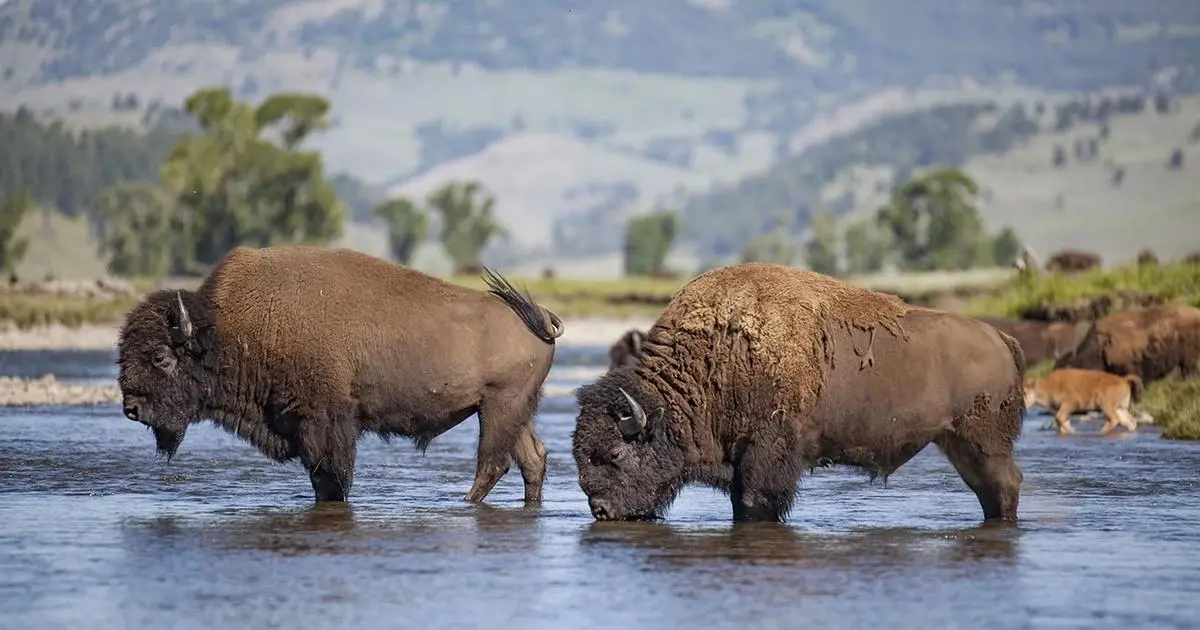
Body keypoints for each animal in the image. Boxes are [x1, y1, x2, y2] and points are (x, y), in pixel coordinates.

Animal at [114, 243, 564, 504]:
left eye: (160, 357)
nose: (131, 408)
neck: (228, 329)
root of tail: (538, 316)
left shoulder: (325, 424)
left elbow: (332, 479)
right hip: (509, 410)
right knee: (532, 460)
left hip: (500, 408)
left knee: (494, 463)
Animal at [568, 262, 1022, 523]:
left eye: (613, 454)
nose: (601, 511)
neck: (717, 357)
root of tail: (999, 338)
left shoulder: (768, 453)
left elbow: (755, 502)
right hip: (957, 442)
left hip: (984, 442)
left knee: (1003, 486)